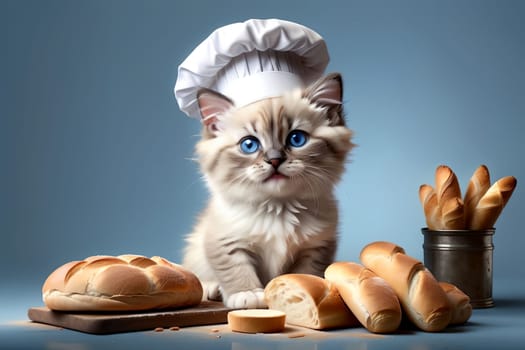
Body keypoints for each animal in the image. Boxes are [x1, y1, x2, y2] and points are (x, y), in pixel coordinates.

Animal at [182, 72, 354, 308]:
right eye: (249, 145)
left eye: (297, 139)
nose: (274, 160)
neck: (278, 207)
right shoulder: (226, 242)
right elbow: (236, 269)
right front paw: (248, 294)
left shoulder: (316, 247)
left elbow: (307, 272)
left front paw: (302, 289)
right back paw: (212, 289)